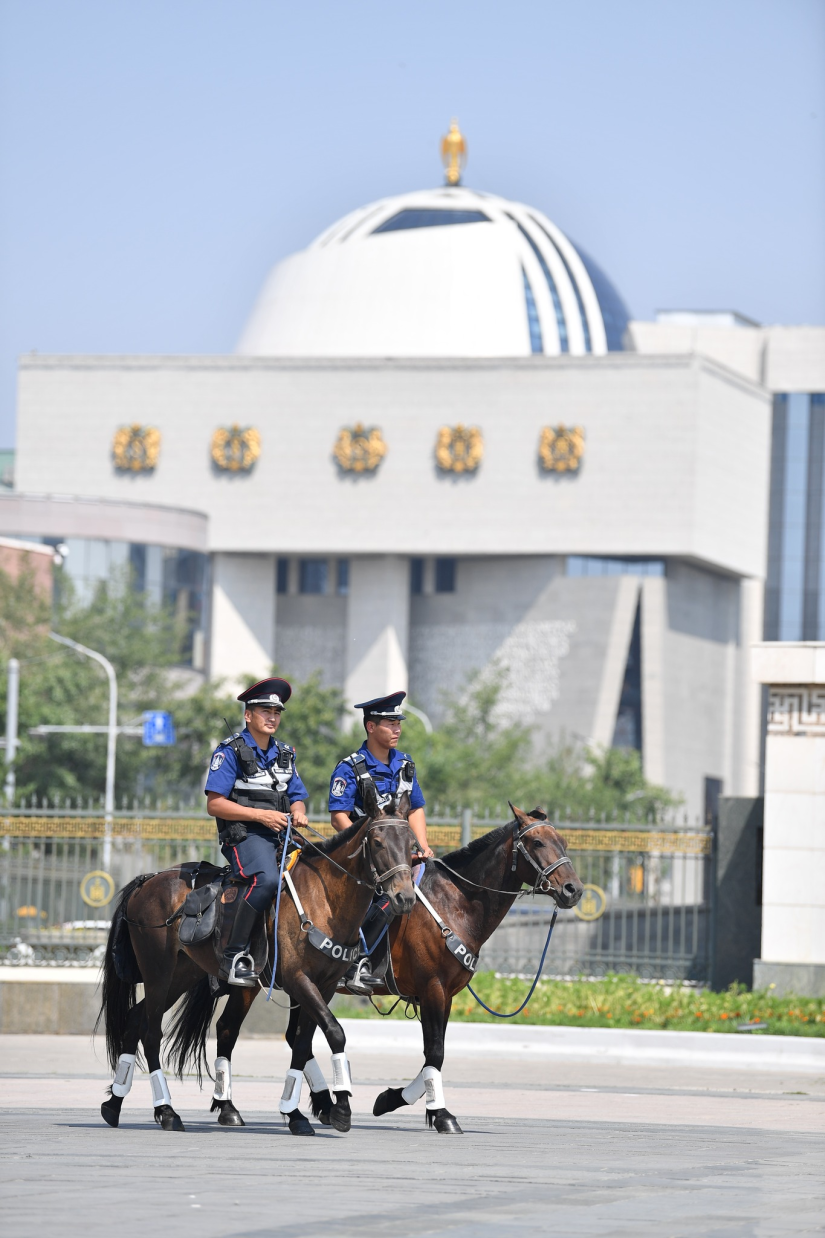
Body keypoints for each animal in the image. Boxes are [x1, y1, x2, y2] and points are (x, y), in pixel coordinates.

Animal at [97, 792, 413, 1134]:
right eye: (378, 842)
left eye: (411, 843)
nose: (405, 898)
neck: (324, 898)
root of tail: (147, 880)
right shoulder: (299, 980)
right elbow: (334, 1032)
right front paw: (340, 1107)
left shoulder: (325, 986)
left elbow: (303, 1043)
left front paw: (296, 1113)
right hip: (159, 974)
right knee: (152, 1032)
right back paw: (166, 1111)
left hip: (181, 975)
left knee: (138, 1020)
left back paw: (115, 1104)